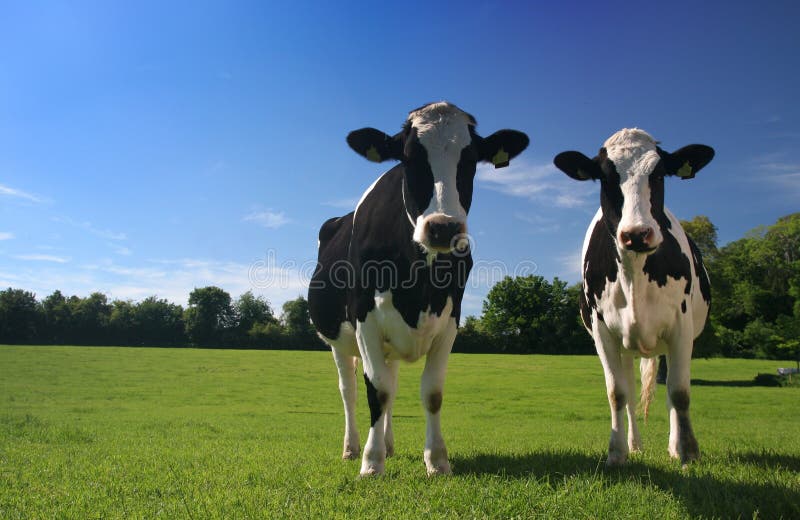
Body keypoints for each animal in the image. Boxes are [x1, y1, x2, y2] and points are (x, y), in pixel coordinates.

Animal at [310, 101, 528, 476]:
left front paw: (437, 460)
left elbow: (431, 392)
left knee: (391, 383)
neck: (419, 283)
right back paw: (353, 448)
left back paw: (388, 444)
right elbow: (377, 390)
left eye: (470, 160)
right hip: (338, 341)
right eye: (409, 157)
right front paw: (371, 463)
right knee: (350, 389)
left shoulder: (451, 319)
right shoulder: (365, 318)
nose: (443, 227)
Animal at [552, 129, 716, 468]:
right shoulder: (602, 331)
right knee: (628, 389)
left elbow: (680, 392)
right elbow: (617, 393)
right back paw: (635, 445)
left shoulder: (681, 326)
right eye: (604, 176)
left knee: (669, 391)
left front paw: (687, 451)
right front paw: (616, 453)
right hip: (626, 346)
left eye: (660, 174)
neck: (635, 277)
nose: (637, 234)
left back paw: (672, 445)